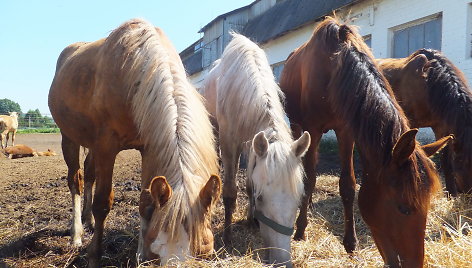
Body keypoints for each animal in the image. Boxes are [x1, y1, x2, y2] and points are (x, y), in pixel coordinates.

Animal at [202, 33, 310, 266]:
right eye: (262, 199)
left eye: (299, 197)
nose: (282, 261)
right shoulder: (230, 142)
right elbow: (230, 191)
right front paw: (227, 237)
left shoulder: (252, 143)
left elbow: (250, 183)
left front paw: (252, 220)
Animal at [278, 17, 452, 266]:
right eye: (403, 209)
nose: (414, 263)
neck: (334, 70)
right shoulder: (314, 129)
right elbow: (310, 177)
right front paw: (301, 230)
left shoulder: (346, 130)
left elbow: (348, 185)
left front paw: (351, 244)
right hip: (296, 125)